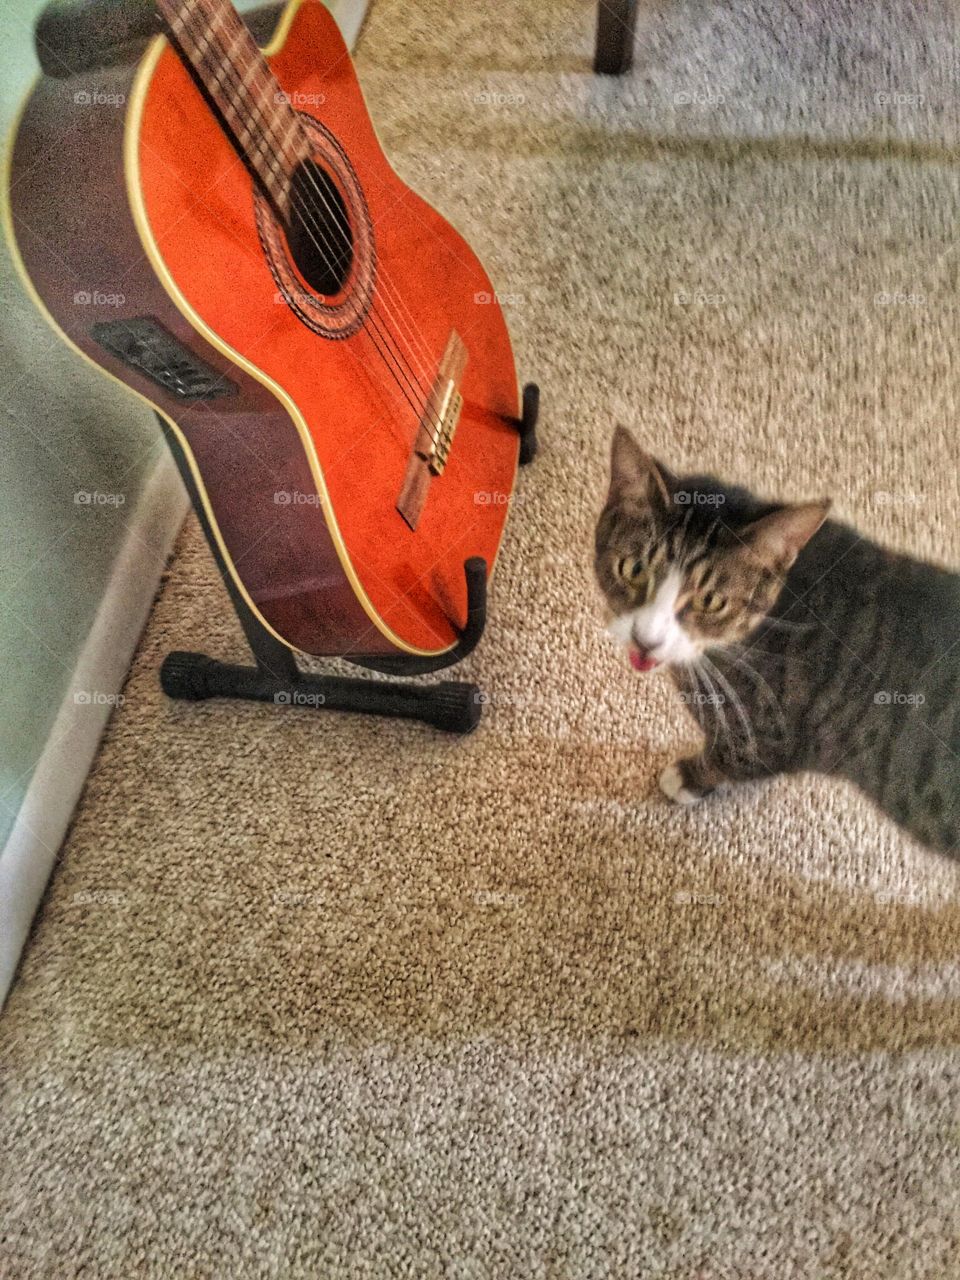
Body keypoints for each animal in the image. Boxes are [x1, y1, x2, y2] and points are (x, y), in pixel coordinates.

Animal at [599, 424, 960, 855]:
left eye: (711, 601)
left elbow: (734, 759)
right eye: (633, 569)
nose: (646, 639)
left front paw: (687, 778)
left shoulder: (770, 737)